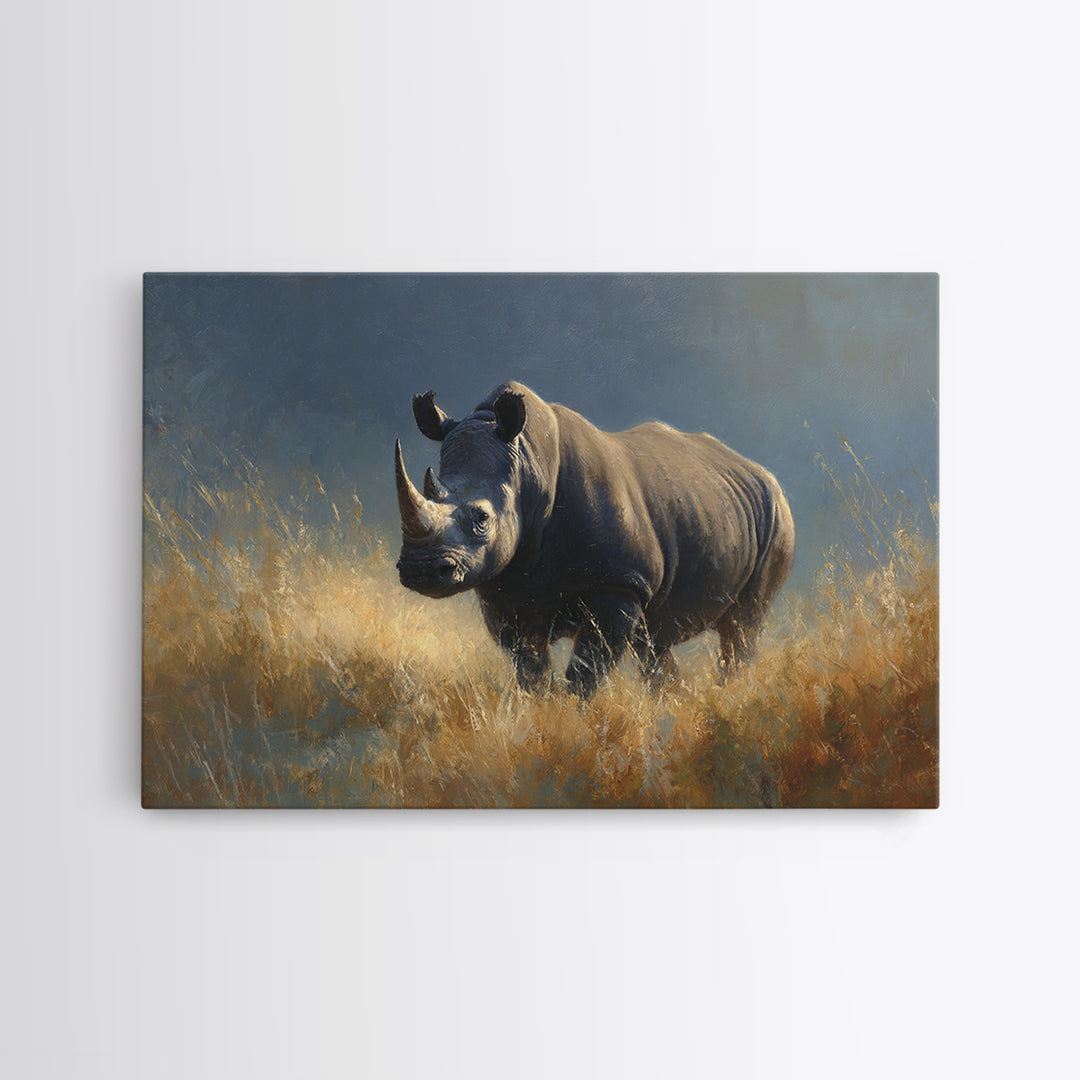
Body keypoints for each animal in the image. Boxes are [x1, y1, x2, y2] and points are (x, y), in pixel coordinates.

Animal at [395, 381, 794, 697]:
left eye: (482, 519)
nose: (420, 570)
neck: (528, 467)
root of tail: (760, 472)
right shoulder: (504, 593)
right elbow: (530, 670)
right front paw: (542, 714)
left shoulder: (619, 583)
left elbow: (585, 671)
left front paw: (573, 721)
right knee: (653, 641)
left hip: (777, 518)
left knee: (743, 627)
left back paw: (729, 697)